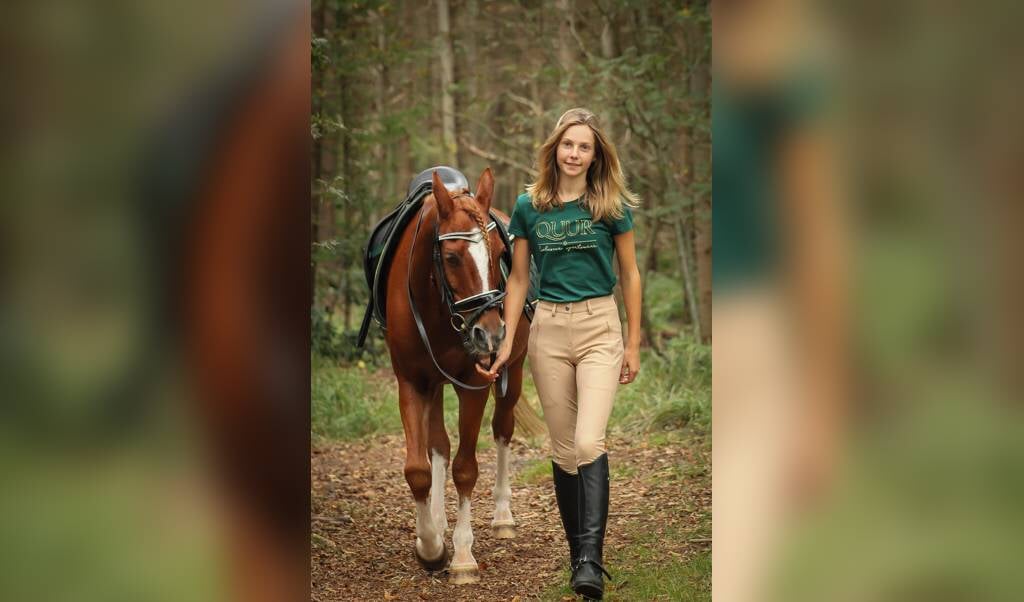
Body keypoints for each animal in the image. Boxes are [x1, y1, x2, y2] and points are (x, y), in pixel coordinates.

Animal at [385, 166, 528, 581]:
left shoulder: (476, 385)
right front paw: (430, 546)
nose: (491, 334)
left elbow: (466, 469)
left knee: (502, 430)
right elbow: (418, 467)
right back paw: (436, 520)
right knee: (439, 447)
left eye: (499, 254)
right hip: (434, 385)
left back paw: (502, 515)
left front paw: (463, 555)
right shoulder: (412, 383)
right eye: (450, 257)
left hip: (513, 371)